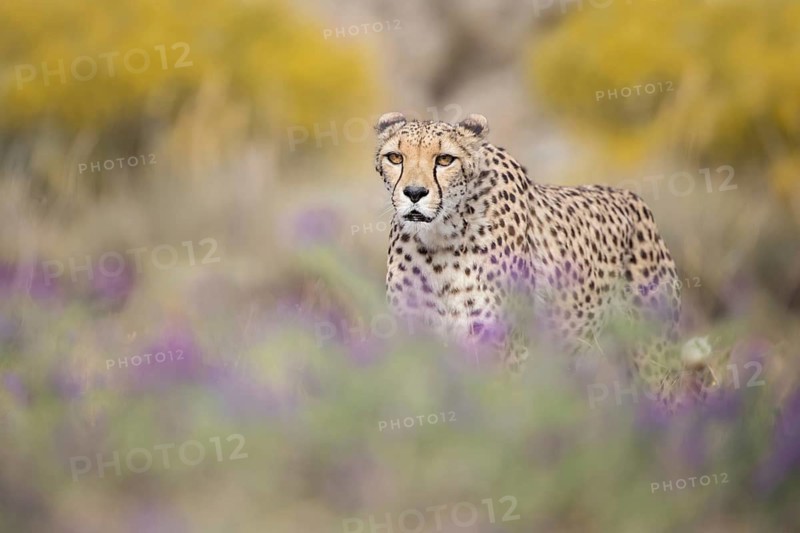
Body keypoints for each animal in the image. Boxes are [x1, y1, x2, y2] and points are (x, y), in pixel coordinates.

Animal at [374, 111, 712, 407]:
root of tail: (633, 199)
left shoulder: (503, 350)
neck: (440, 241)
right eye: (395, 157)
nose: (414, 193)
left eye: (445, 159)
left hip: (651, 358)